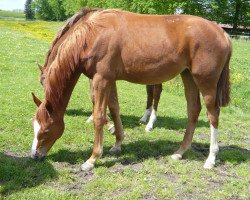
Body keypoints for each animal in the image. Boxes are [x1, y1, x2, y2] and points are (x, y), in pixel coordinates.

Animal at [30, 9, 230, 172]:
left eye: (46, 130)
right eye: (34, 126)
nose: (34, 156)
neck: (93, 34)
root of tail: (222, 32)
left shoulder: (101, 79)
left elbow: (99, 115)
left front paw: (92, 159)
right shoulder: (109, 80)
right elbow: (114, 108)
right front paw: (118, 143)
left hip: (206, 81)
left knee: (213, 114)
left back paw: (211, 159)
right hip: (188, 76)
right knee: (193, 109)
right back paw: (179, 152)